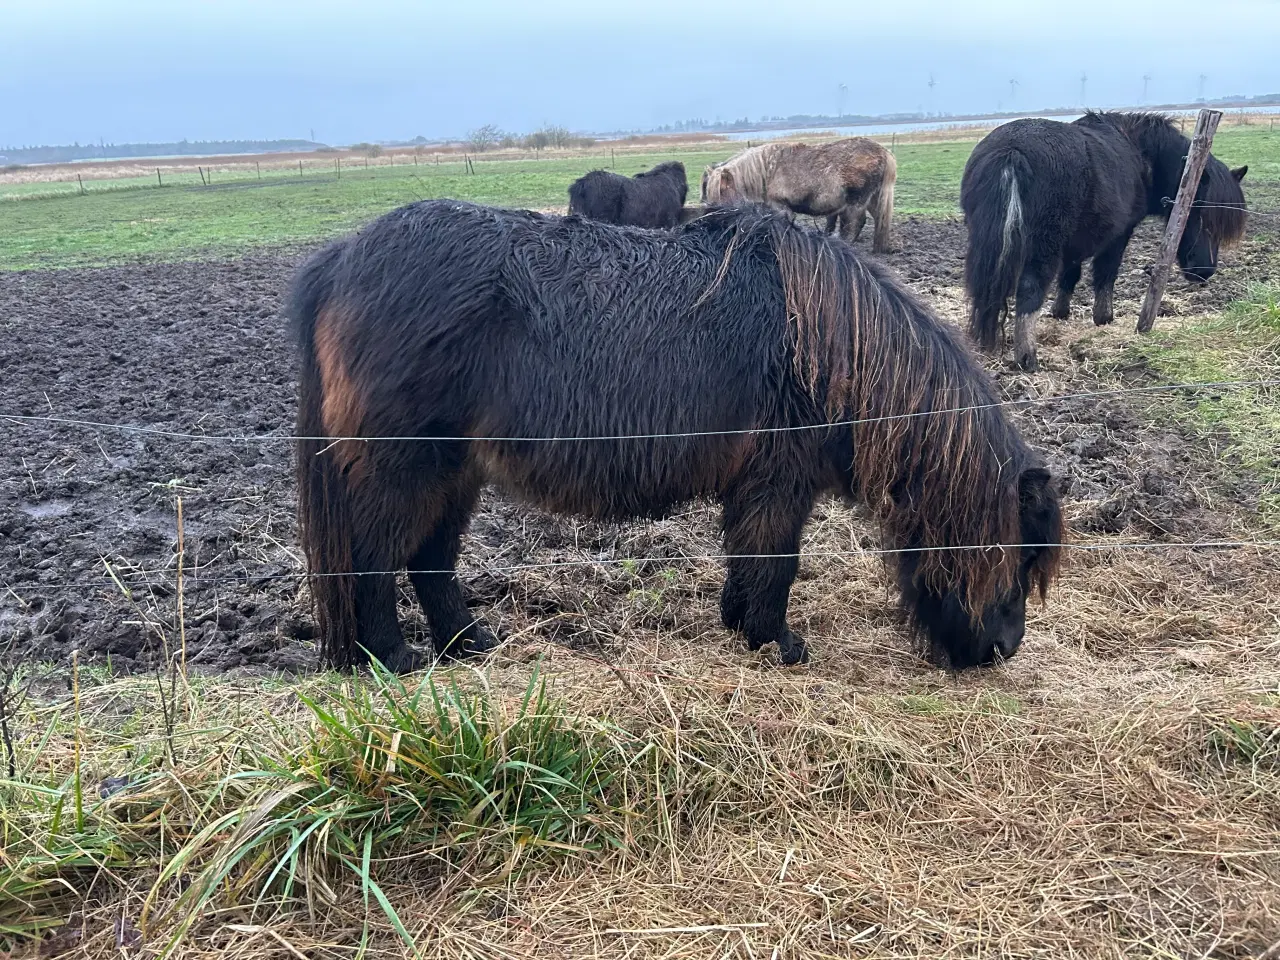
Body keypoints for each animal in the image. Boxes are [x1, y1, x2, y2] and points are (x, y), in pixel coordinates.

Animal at [294, 199, 1064, 670]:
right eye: (1019, 555)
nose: (1002, 649)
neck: (832, 345)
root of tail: (340, 258)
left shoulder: (757, 485)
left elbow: (748, 556)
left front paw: (739, 622)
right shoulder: (781, 480)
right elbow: (777, 558)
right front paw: (776, 640)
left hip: (454, 473)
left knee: (430, 560)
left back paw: (469, 644)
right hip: (407, 469)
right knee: (373, 559)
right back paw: (393, 658)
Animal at [962, 110, 1244, 371]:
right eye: (1200, 212)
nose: (1204, 271)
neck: (1140, 153)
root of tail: (1011, 151)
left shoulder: (1074, 243)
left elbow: (1070, 274)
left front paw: (1060, 312)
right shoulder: (1119, 235)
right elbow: (1106, 274)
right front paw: (1104, 317)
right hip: (1043, 247)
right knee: (1029, 291)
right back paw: (1027, 357)